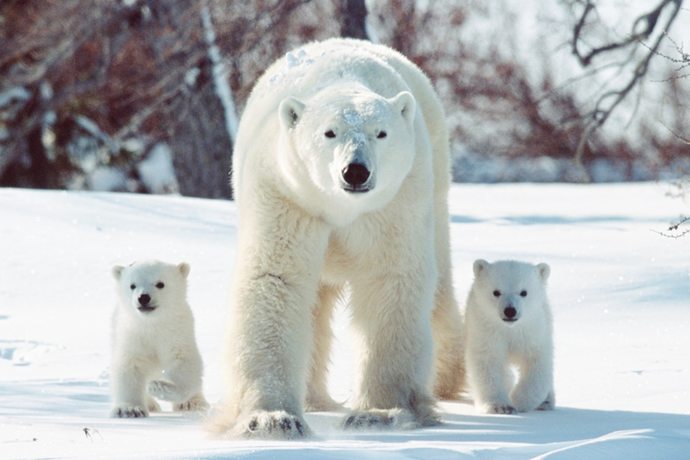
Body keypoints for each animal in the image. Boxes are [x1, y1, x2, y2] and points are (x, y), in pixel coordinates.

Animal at [110, 260, 208, 418]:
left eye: (160, 284)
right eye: (132, 285)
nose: (144, 297)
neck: (152, 324)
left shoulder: (177, 332)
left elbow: (185, 361)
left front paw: (160, 387)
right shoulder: (132, 335)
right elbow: (129, 366)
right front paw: (129, 409)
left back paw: (192, 403)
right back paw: (151, 405)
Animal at [214, 38, 464, 439]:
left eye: (381, 133)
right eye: (329, 132)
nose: (356, 171)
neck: (339, 207)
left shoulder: (394, 202)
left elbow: (391, 278)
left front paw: (379, 413)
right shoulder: (286, 192)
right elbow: (276, 278)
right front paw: (271, 419)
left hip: (435, 183)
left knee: (439, 286)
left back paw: (445, 381)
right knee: (315, 304)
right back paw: (314, 397)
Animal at [463, 259, 555, 414]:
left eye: (524, 292)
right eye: (496, 292)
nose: (510, 311)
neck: (510, 329)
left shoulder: (533, 332)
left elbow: (537, 364)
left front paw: (518, 400)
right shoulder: (486, 330)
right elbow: (488, 362)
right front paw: (499, 406)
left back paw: (547, 402)